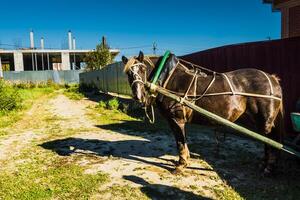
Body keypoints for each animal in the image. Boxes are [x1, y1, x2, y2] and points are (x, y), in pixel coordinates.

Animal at [122, 51, 284, 175]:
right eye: (128, 73)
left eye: (142, 70)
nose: (138, 95)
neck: (168, 78)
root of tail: (272, 78)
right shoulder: (175, 121)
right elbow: (182, 141)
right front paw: (185, 160)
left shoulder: (177, 119)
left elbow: (180, 141)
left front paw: (181, 165)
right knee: (267, 140)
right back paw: (265, 165)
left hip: (265, 120)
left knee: (271, 139)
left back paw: (269, 168)